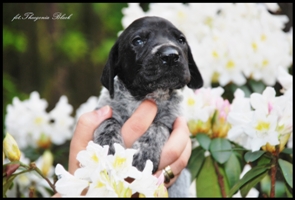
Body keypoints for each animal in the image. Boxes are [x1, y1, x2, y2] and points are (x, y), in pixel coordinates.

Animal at [94, 16, 204, 197]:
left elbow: (158, 126)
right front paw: (108, 146)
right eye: (138, 41)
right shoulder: (104, 110)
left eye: (181, 40)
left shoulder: (173, 122)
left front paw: (144, 152)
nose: (171, 55)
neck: (143, 98)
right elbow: (108, 122)